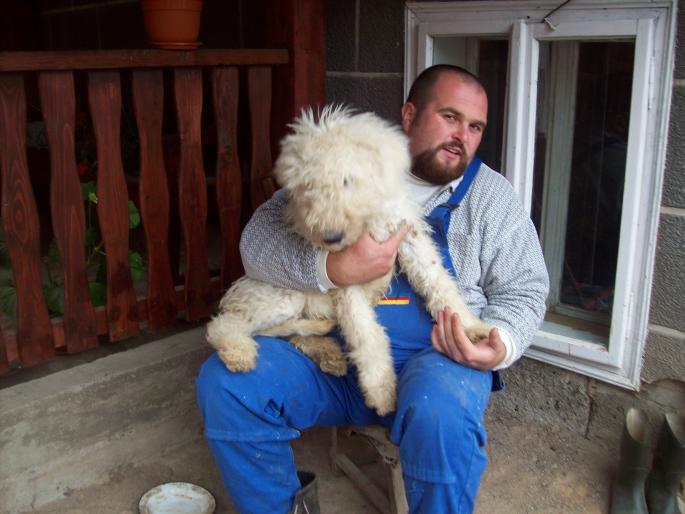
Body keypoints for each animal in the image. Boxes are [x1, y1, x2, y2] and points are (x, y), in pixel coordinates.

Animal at [206, 106, 488, 414]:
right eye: (308, 186)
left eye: (346, 179)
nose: (331, 238)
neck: (367, 219)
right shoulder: (348, 275)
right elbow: (365, 332)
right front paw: (381, 390)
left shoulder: (408, 237)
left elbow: (439, 282)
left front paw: (469, 327)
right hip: (281, 298)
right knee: (228, 325)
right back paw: (239, 352)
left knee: (288, 332)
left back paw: (329, 354)